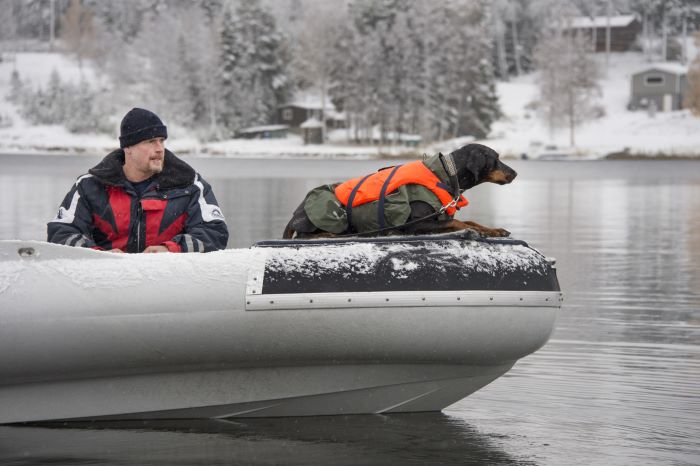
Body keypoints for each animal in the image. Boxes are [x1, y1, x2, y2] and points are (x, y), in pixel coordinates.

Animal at [282, 145, 516, 240]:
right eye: (496, 159)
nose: (515, 173)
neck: (445, 174)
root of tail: (295, 214)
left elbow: (470, 221)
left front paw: (494, 230)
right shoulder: (416, 224)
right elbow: (459, 223)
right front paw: (478, 231)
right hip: (326, 216)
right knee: (304, 235)